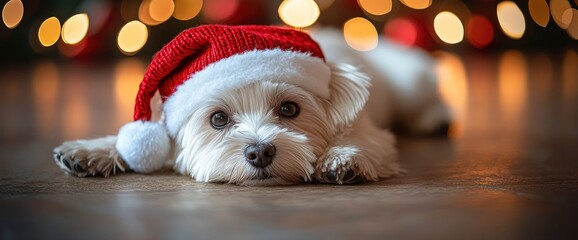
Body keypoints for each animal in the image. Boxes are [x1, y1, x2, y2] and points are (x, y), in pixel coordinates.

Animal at [53, 25, 446, 186]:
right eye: (218, 118)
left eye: (289, 109)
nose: (259, 153)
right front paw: (91, 151)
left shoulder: (370, 131)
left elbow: (362, 141)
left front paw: (341, 158)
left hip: (410, 81)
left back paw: (435, 118)